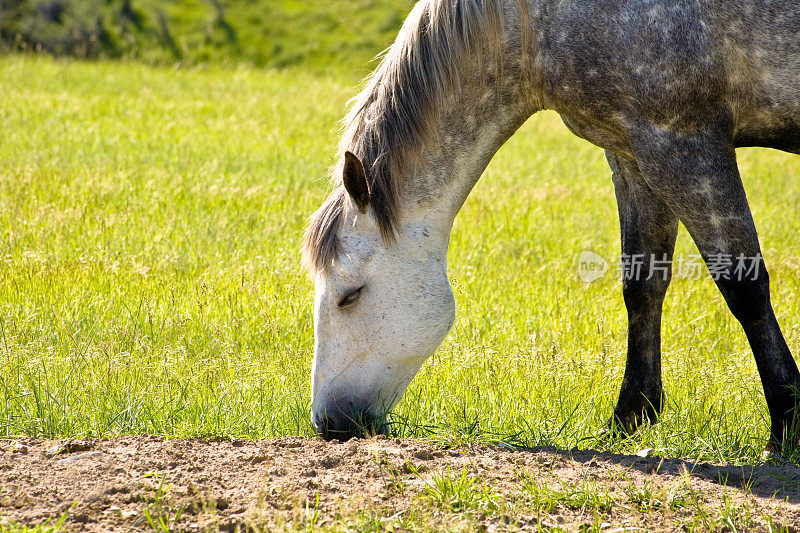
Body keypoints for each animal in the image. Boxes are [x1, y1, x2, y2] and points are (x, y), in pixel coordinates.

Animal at [302, 0, 800, 448]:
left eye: (350, 295)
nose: (330, 423)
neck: (533, 20)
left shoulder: (684, 143)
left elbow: (744, 287)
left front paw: (787, 422)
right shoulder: (632, 155)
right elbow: (642, 287)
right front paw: (630, 417)